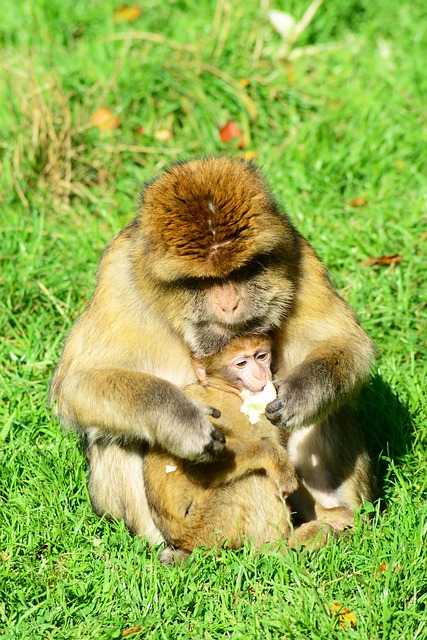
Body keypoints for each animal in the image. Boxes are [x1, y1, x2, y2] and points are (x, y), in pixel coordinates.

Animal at [49, 156, 377, 549]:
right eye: (204, 282)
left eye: (242, 271)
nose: (230, 303)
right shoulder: (118, 280)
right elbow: (77, 384)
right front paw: (181, 418)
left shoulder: (297, 254)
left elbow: (347, 342)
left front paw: (301, 392)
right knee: (114, 434)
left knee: (329, 411)